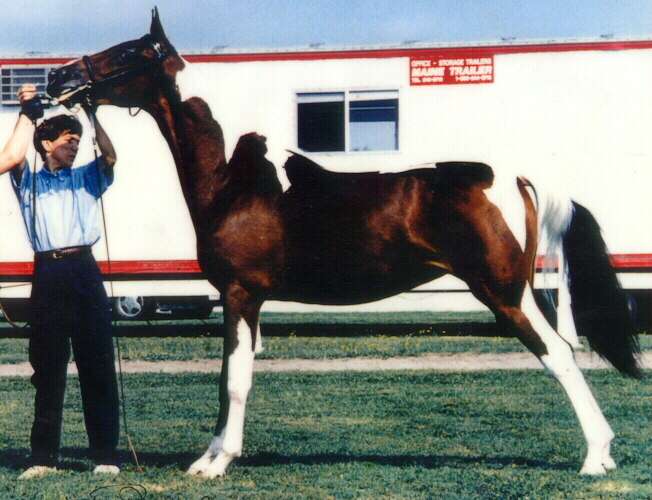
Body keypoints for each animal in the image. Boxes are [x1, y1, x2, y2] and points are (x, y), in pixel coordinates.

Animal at [46, 8, 640, 478]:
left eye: (127, 52)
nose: (58, 76)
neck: (236, 177)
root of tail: (510, 177)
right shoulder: (246, 300)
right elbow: (233, 378)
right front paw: (212, 456)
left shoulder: (239, 294)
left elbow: (232, 381)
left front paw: (215, 464)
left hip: (505, 294)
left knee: (559, 355)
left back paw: (596, 458)